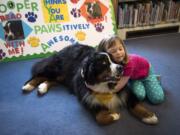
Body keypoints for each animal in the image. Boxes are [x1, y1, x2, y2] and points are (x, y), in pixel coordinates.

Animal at [22, 43, 158, 125]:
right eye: (104, 63)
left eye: (114, 60)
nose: (120, 68)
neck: (103, 84)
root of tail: (64, 48)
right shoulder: (88, 98)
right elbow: (99, 117)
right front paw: (114, 115)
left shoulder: (125, 91)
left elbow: (135, 104)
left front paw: (149, 116)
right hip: (55, 69)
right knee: (39, 75)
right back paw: (28, 86)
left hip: (64, 76)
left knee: (53, 80)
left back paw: (42, 87)